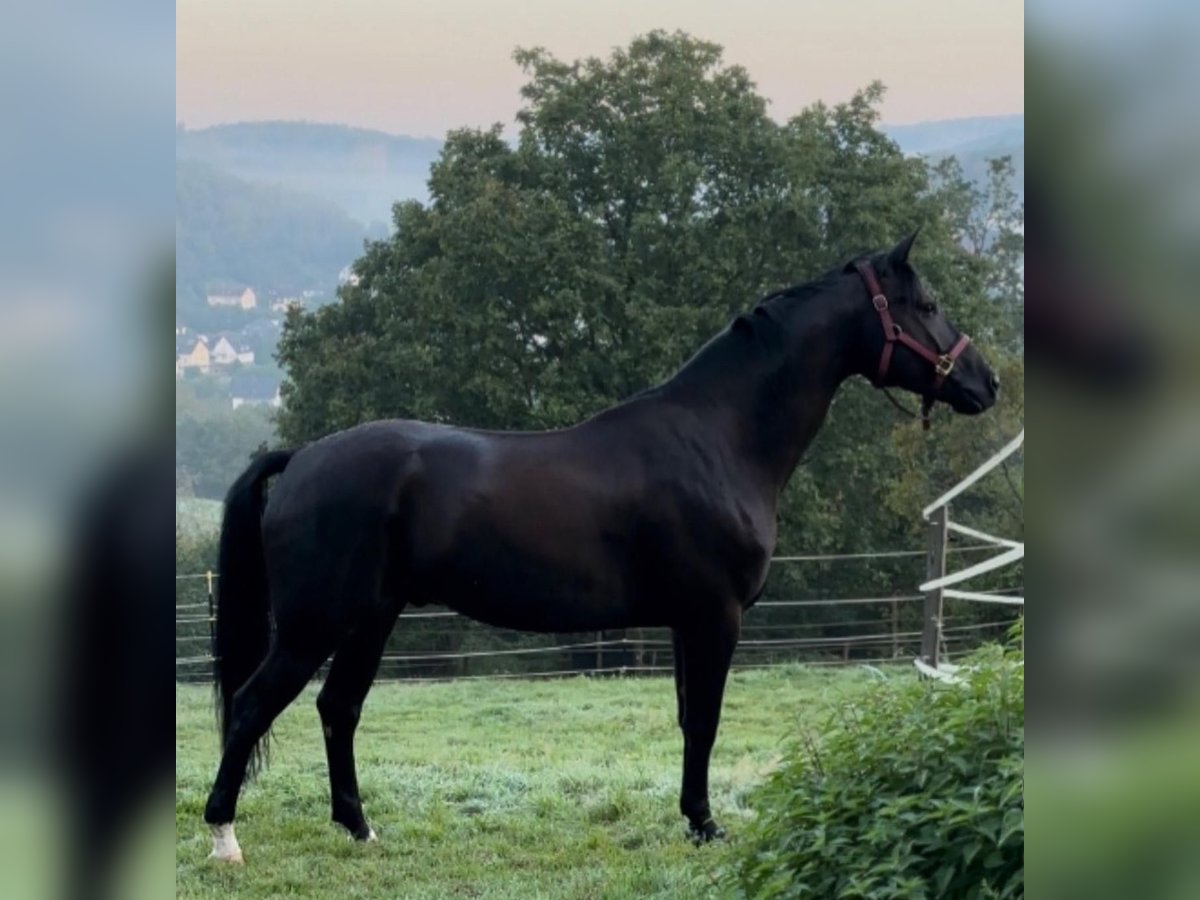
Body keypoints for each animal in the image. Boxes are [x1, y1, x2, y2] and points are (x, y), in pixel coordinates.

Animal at [204, 232, 993, 859]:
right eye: (925, 304)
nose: (983, 382)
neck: (719, 436)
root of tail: (303, 457)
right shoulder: (715, 617)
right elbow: (705, 722)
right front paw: (706, 827)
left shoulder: (684, 622)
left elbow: (688, 719)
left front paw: (693, 819)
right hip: (315, 624)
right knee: (251, 706)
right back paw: (225, 838)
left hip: (372, 618)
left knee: (338, 709)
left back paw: (361, 829)